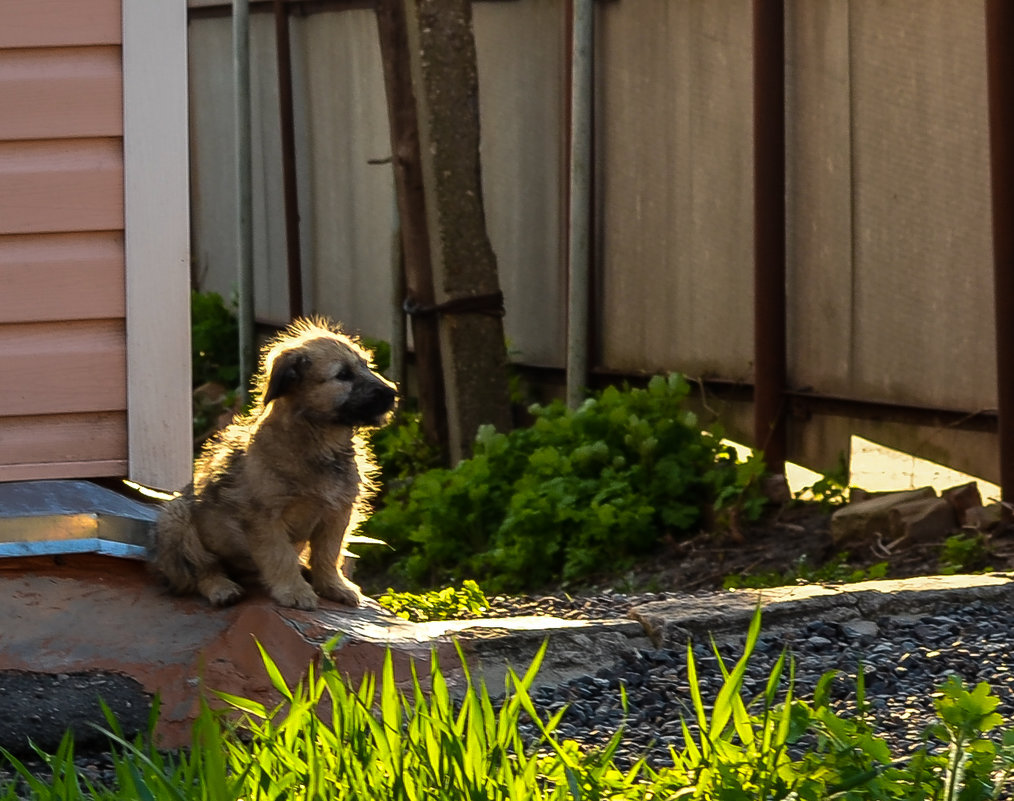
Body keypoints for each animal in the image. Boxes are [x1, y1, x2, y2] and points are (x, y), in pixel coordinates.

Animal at [150, 318, 395, 608]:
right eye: (343, 375)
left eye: (366, 366)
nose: (393, 393)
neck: (320, 442)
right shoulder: (266, 518)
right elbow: (280, 556)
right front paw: (295, 591)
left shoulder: (338, 513)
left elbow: (328, 554)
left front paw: (333, 586)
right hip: (177, 517)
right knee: (203, 570)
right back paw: (222, 588)